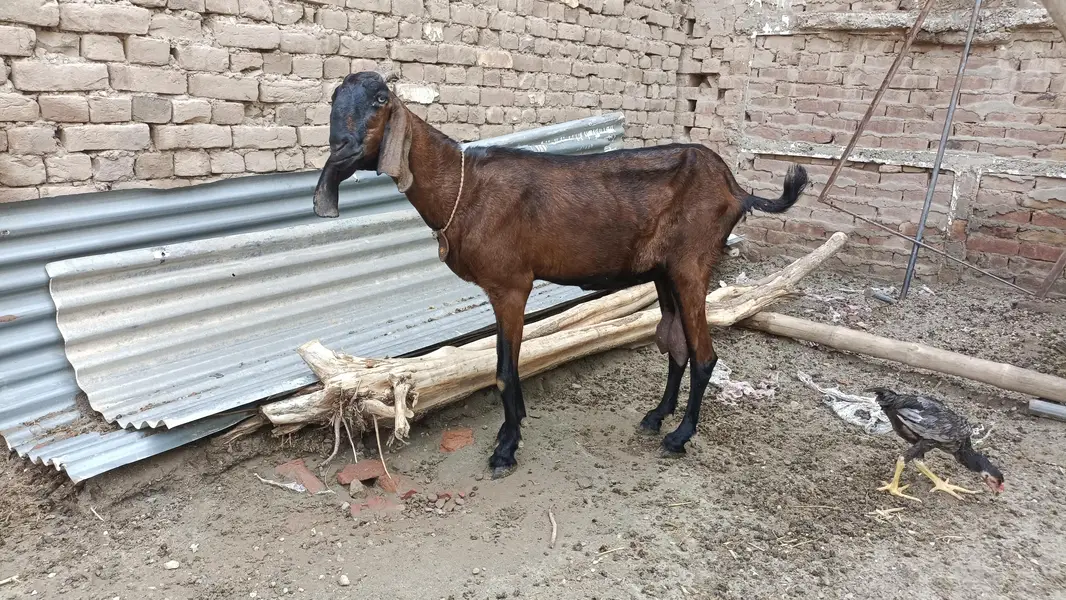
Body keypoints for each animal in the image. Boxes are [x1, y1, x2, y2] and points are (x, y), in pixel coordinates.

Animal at [314, 72, 809, 479]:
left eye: (380, 99)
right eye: (333, 99)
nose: (342, 149)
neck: (464, 187)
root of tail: (736, 189)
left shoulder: (511, 285)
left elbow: (505, 371)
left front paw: (506, 449)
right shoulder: (502, 290)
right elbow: (504, 366)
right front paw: (508, 434)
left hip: (692, 265)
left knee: (704, 355)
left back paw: (679, 436)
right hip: (664, 271)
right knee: (677, 345)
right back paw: (655, 417)